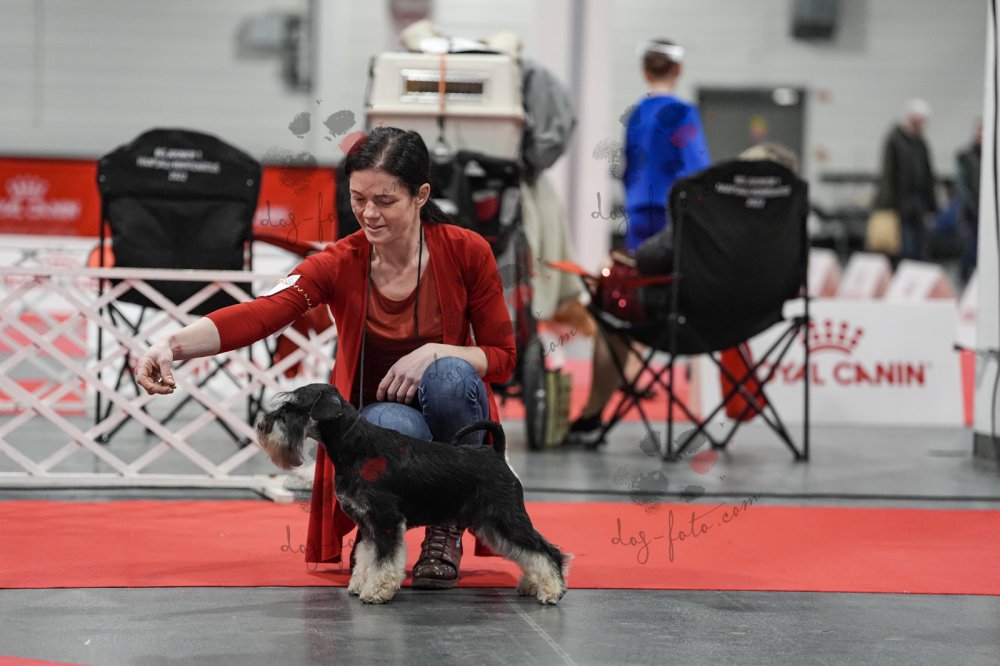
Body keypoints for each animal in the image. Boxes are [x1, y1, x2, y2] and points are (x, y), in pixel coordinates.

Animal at [255, 383, 571, 605]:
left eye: (293, 408)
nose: (261, 425)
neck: (356, 449)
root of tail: (496, 453)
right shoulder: (368, 525)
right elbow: (366, 556)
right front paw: (360, 583)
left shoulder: (385, 521)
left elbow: (385, 560)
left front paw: (377, 591)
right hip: (492, 527)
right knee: (526, 553)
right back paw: (532, 585)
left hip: (506, 517)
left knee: (546, 551)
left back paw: (553, 590)